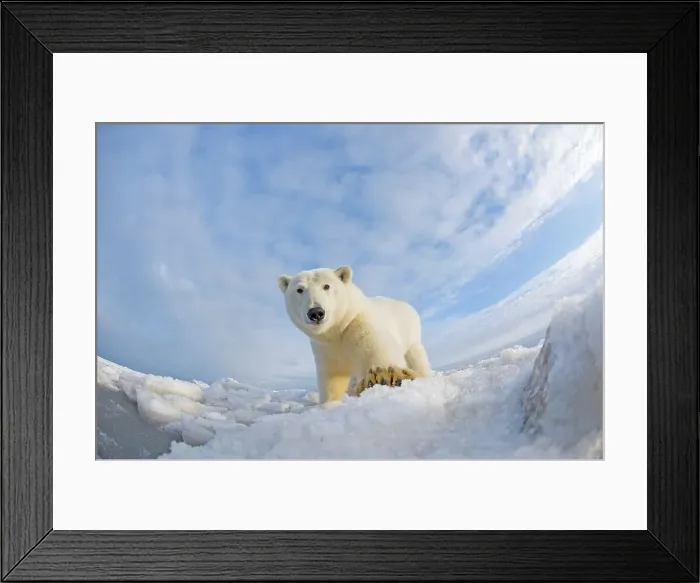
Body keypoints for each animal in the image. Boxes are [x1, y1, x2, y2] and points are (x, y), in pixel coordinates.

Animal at [277, 265, 432, 404]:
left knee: (417, 357)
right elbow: (332, 379)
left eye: (326, 286)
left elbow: (380, 353)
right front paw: (329, 404)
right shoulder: (324, 349)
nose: (316, 312)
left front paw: (383, 377)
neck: (338, 330)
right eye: (299, 289)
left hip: (411, 334)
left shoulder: (362, 326)